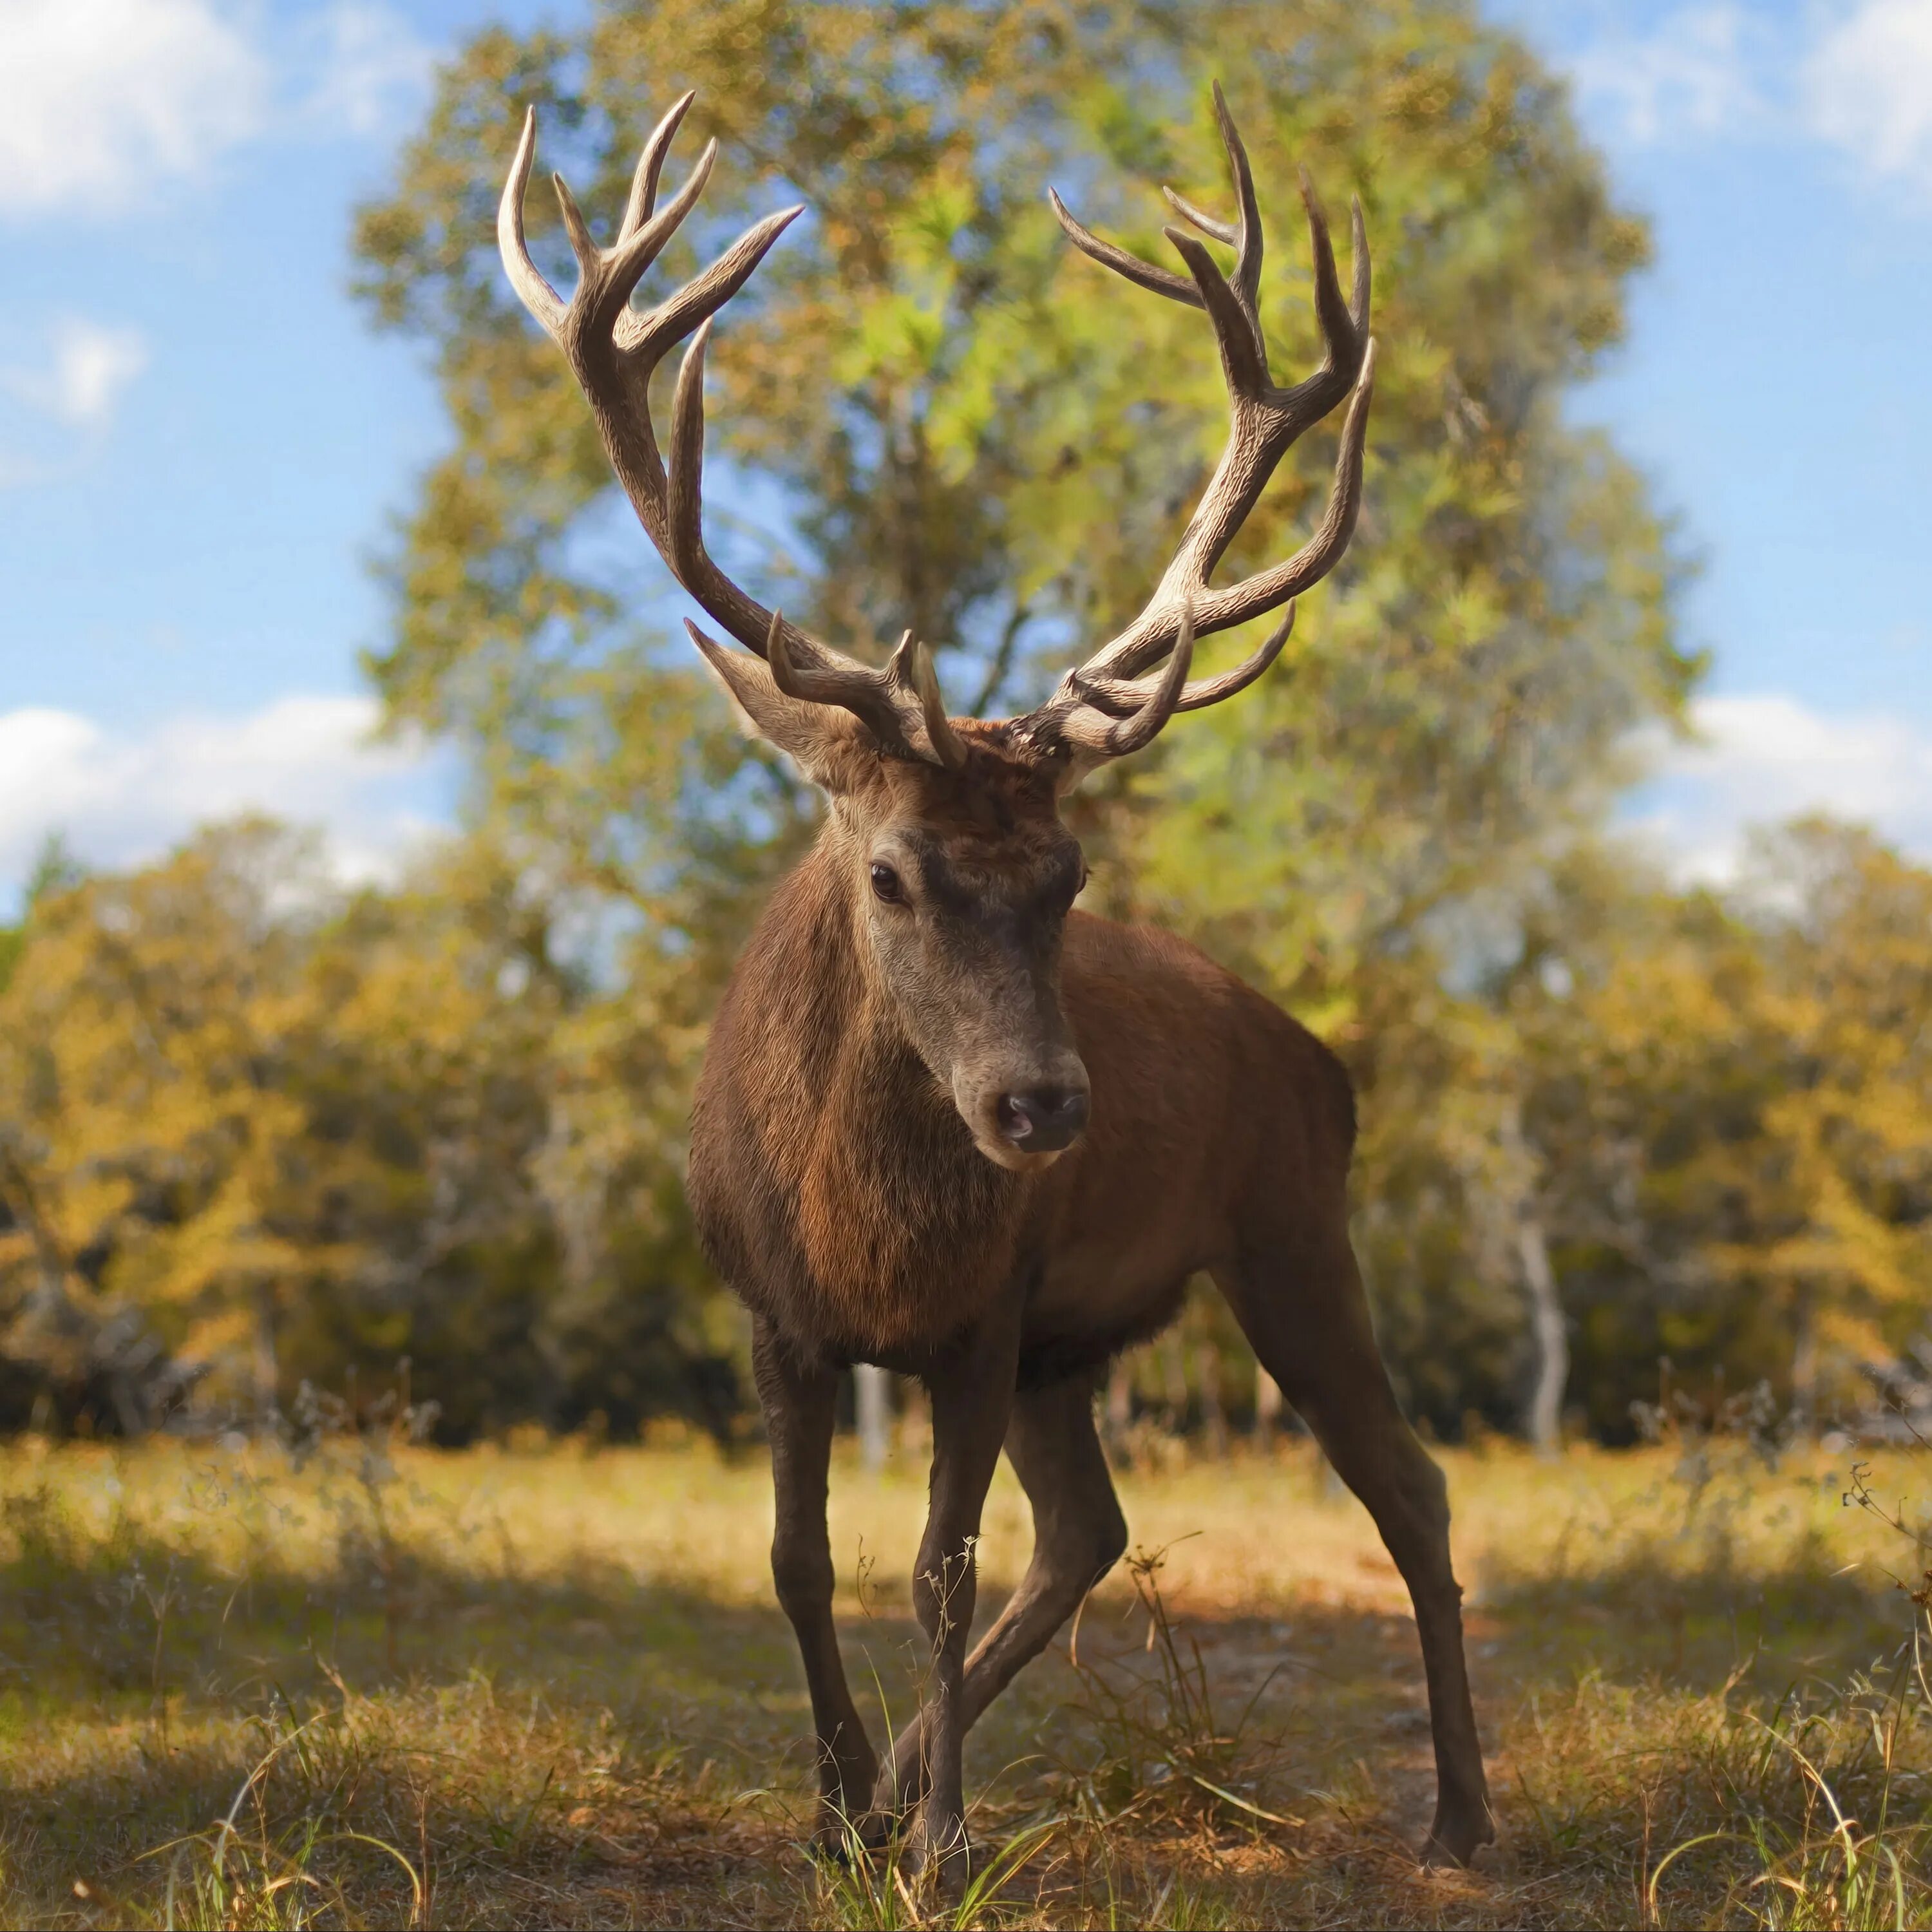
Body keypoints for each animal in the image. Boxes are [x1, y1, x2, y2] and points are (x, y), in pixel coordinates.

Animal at [498, 83, 1492, 1878]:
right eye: (892, 870)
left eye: (1069, 876)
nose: (1042, 1108)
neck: (865, 1239)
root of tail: (1323, 1060)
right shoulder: (777, 1314)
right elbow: (796, 1560)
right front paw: (838, 1810)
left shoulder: (986, 1311)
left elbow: (936, 1572)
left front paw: (944, 1844)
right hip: (1080, 1341)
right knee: (1091, 1528)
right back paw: (900, 1781)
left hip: (1287, 1231)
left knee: (1407, 1484)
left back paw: (1457, 1813)